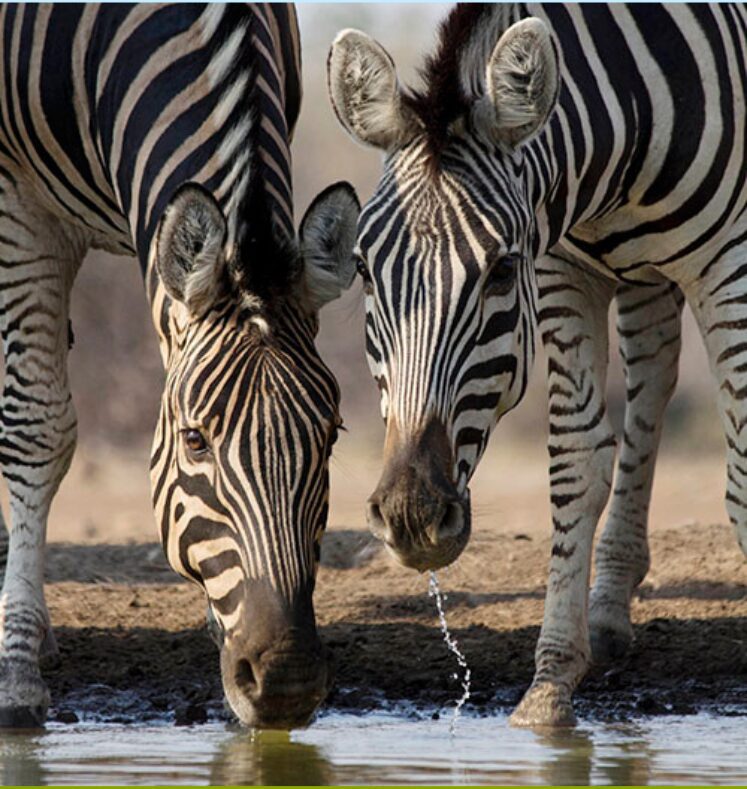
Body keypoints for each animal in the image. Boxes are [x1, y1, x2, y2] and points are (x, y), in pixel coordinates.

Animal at [0, 4, 360, 729]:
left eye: (330, 435)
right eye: (194, 440)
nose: (285, 681)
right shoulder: (22, 202)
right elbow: (37, 427)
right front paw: (16, 669)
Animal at [328, 3, 747, 726]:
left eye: (501, 269)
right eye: (361, 269)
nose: (411, 516)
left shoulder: (730, 258)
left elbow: (744, 473)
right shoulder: (562, 270)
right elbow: (577, 458)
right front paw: (550, 686)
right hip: (638, 270)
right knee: (654, 366)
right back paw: (608, 603)